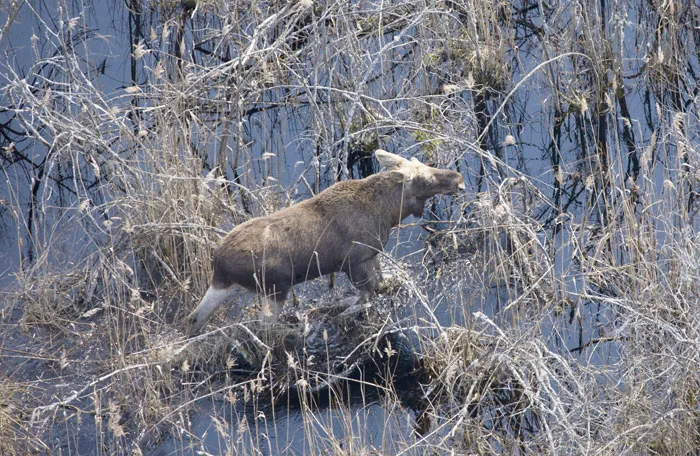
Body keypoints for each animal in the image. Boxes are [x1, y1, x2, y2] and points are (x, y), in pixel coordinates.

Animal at [185, 151, 464, 334]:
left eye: (422, 163)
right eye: (425, 180)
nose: (459, 180)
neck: (389, 213)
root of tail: (218, 261)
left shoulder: (371, 255)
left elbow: (379, 285)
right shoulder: (355, 262)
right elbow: (366, 297)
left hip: (226, 284)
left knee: (195, 317)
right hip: (275, 287)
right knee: (265, 328)